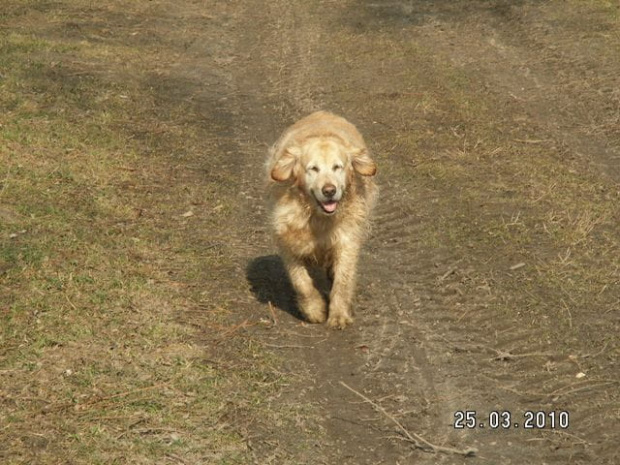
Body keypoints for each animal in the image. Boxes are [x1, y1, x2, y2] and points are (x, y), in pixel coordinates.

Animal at [264, 111, 376, 330]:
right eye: (313, 169)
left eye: (337, 167)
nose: (329, 191)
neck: (318, 217)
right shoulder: (287, 239)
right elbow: (301, 282)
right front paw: (314, 310)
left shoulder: (347, 238)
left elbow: (343, 280)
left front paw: (339, 315)